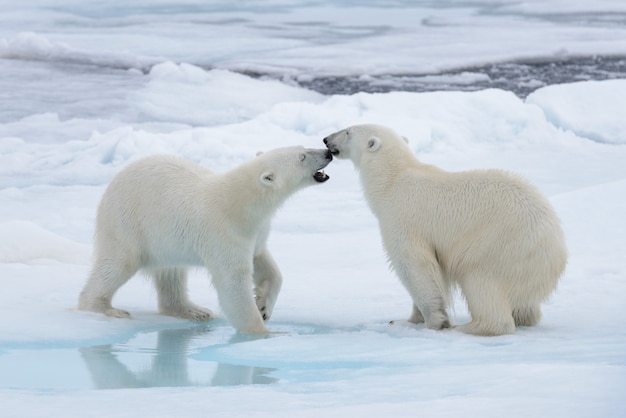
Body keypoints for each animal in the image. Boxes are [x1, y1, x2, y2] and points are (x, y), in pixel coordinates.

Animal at [78, 146, 332, 334]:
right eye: (302, 157)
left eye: (302, 146)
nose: (328, 152)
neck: (240, 203)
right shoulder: (224, 231)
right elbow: (232, 282)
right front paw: (264, 332)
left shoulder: (256, 230)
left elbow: (264, 262)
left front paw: (263, 304)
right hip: (129, 222)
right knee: (118, 264)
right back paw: (103, 308)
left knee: (172, 272)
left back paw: (194, 311)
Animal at [322, 124, 564, 336]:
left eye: (348, 131)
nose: (326, 139)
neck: (392, 180)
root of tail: (556, 252)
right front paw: (408, 320)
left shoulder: (403, 218)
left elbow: (414, 266)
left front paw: (435, 322)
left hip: (501, 245)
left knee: (481, 281)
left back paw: (468, 327)